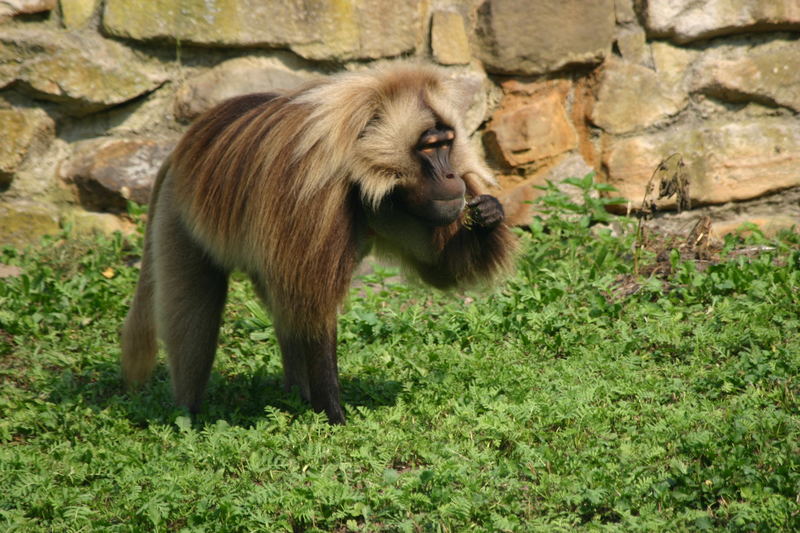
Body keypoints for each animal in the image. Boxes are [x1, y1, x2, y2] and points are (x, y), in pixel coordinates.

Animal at [121, 64, 516, 424]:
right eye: (429, 147)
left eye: (447, 142)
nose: (452, 176)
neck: (360, 167)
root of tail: (181, 147)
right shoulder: (312, 194)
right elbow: (316, 308)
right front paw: (334, 416)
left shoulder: (403, 204)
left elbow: (443, 269)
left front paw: (489, 213)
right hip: (179, 213)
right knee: (197, 314)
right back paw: (188, 416)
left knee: (283, 309)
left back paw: (294, 396)